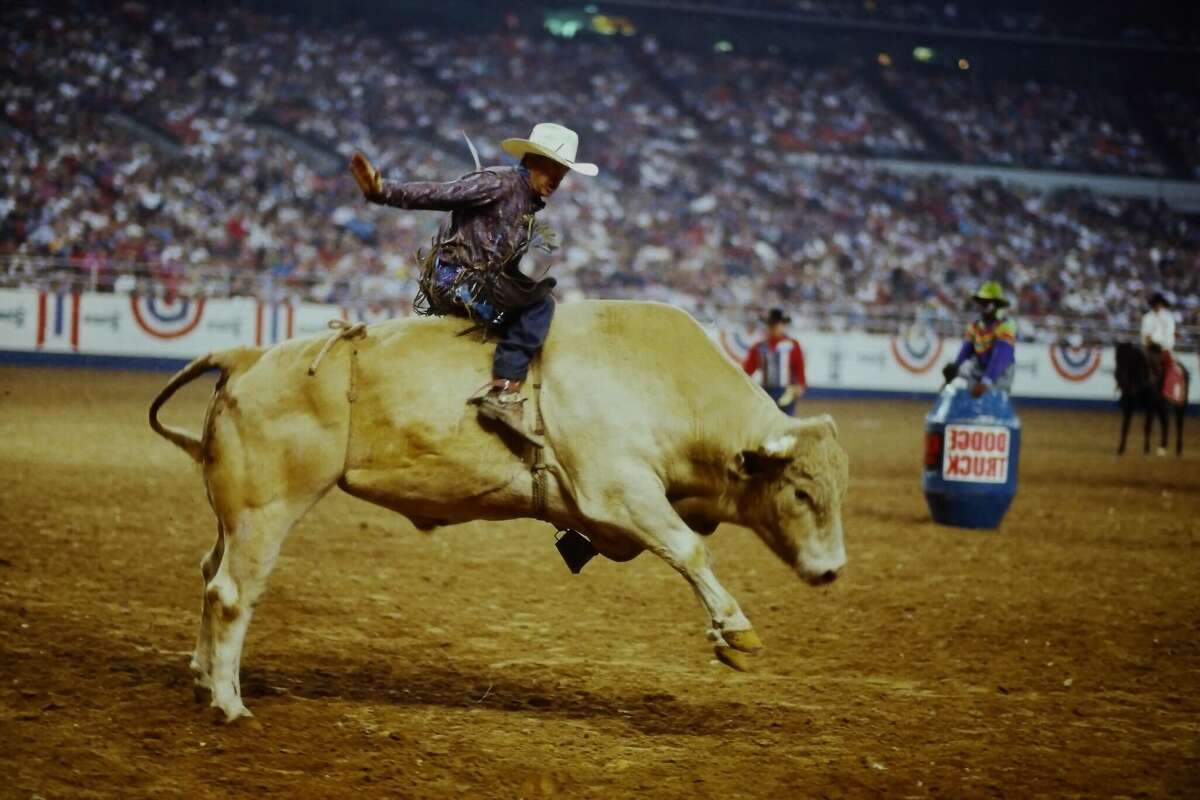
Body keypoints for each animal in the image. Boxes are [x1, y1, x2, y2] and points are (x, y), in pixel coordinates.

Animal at [149, 300, 849, 722]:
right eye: (799, 492)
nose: (832, 570)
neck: (661, 383)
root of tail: (246, 355)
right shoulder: (622, 490)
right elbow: (689, 548)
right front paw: (734, 630)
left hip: (234, 511)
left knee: (209, 576)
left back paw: (201, 678)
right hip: (267, 507)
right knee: (233, 592)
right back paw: (230, 703)